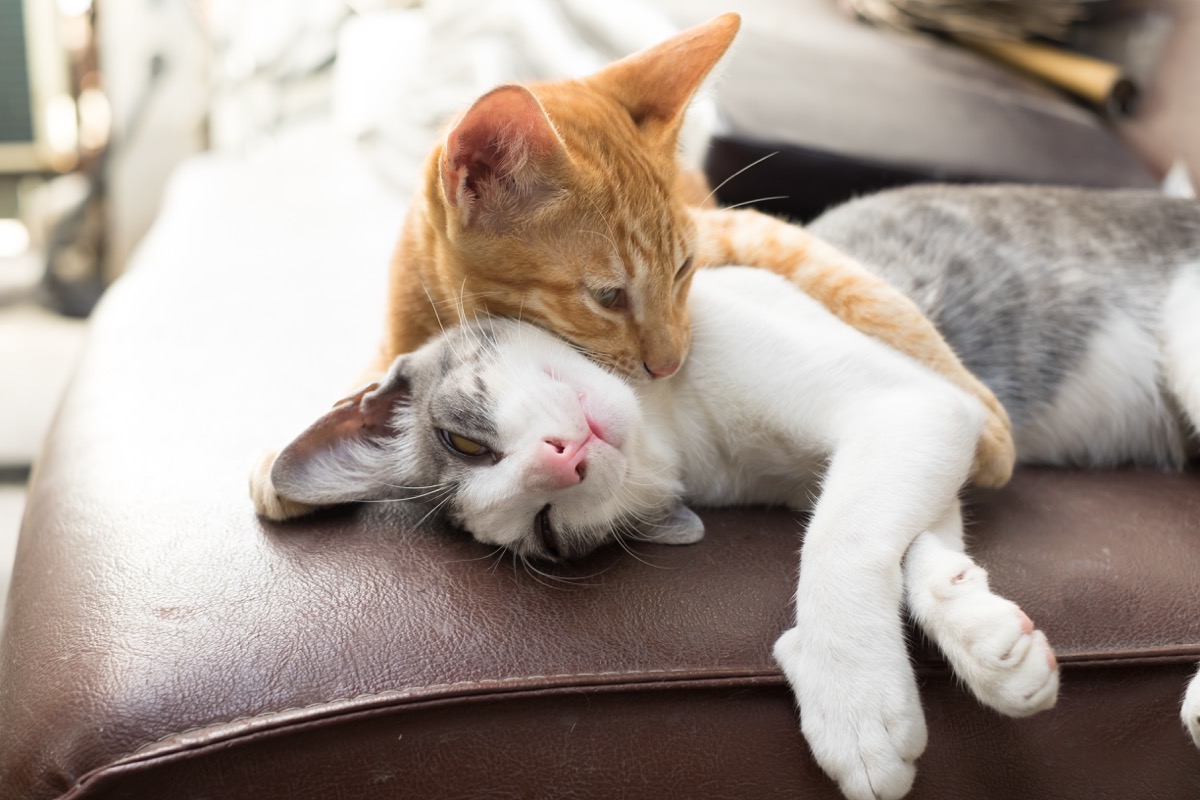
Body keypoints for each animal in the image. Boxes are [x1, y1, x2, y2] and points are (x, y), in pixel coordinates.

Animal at [255, 17, 1012, 525]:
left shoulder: (741, 231)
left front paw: (987, 426)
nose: (672, 363)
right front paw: (278, 466)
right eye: (608, 296)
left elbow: (864, 289)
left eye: (683, 272)